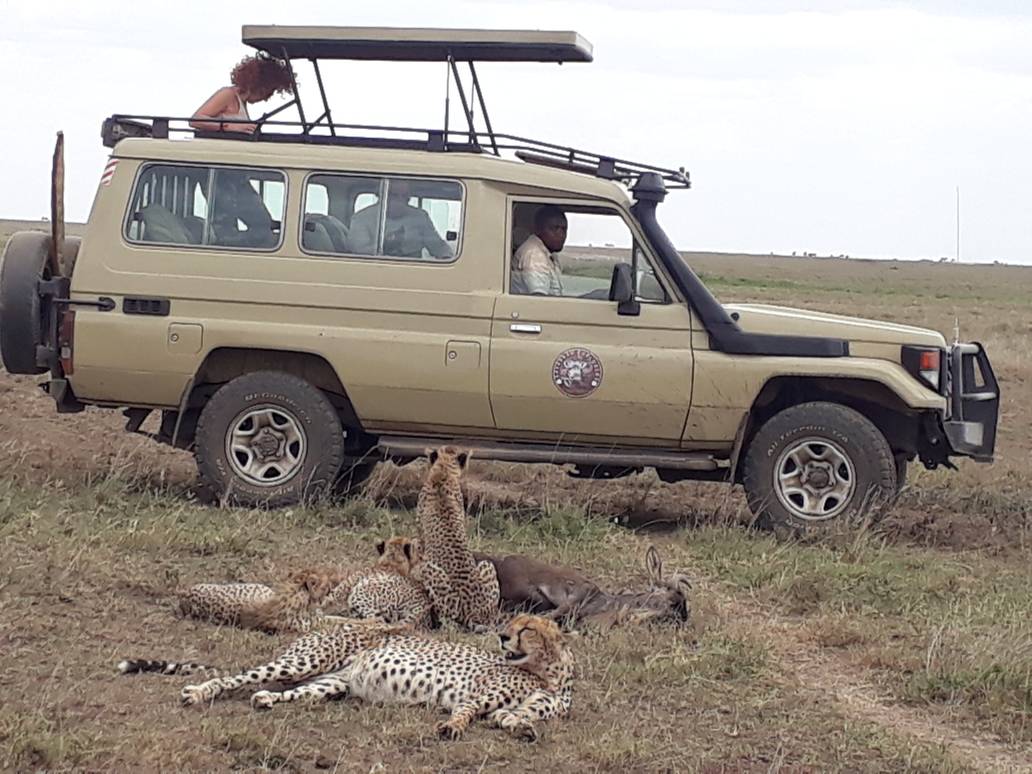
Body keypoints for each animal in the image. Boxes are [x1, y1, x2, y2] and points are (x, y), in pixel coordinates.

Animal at [120, 615, 577, 743]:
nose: (501, 635)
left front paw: (523, 728)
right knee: (236, 678)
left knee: (288, 693)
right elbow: (465, 711)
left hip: (330, 682)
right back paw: (199, 692)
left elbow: (519, 716)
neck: (548, 673)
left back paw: (265, 700)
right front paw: (451, 727)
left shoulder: (536, 706)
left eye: (526, 627)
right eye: (512, 624)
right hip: (301, 662)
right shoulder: (477, 696)